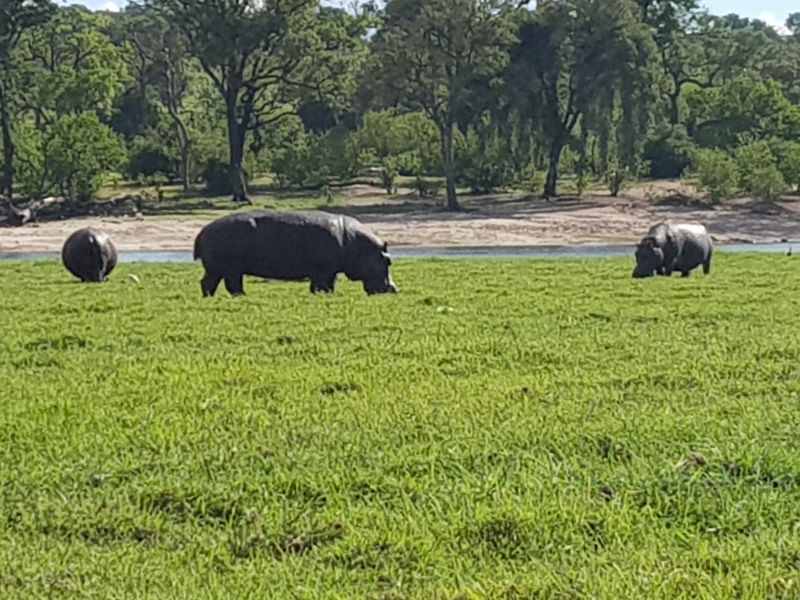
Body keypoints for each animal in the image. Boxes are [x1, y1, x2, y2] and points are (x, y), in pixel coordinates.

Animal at [194, 210, 400, 296]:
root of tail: (203, 230)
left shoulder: (328, 270)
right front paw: (324, 294)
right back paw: (241, 296)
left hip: (219, 269)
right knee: (231, 285)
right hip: (229, 269)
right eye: (388, 261)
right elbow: (323, 284)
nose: (394, 289)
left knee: (208, 283)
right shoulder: (324, 270)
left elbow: (325, 284)